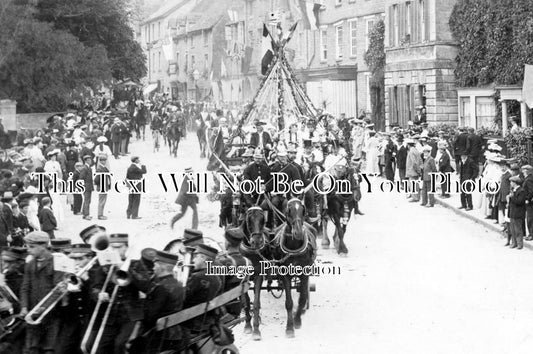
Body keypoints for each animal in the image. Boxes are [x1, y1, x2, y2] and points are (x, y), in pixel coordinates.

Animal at [270, 199, 316, 338]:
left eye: (303, 210)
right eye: (288, 210)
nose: (298, 233)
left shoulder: (305, 272)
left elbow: (302, 298)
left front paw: (297, 320)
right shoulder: (285, 274)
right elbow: (289, 302)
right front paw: (289, 328)